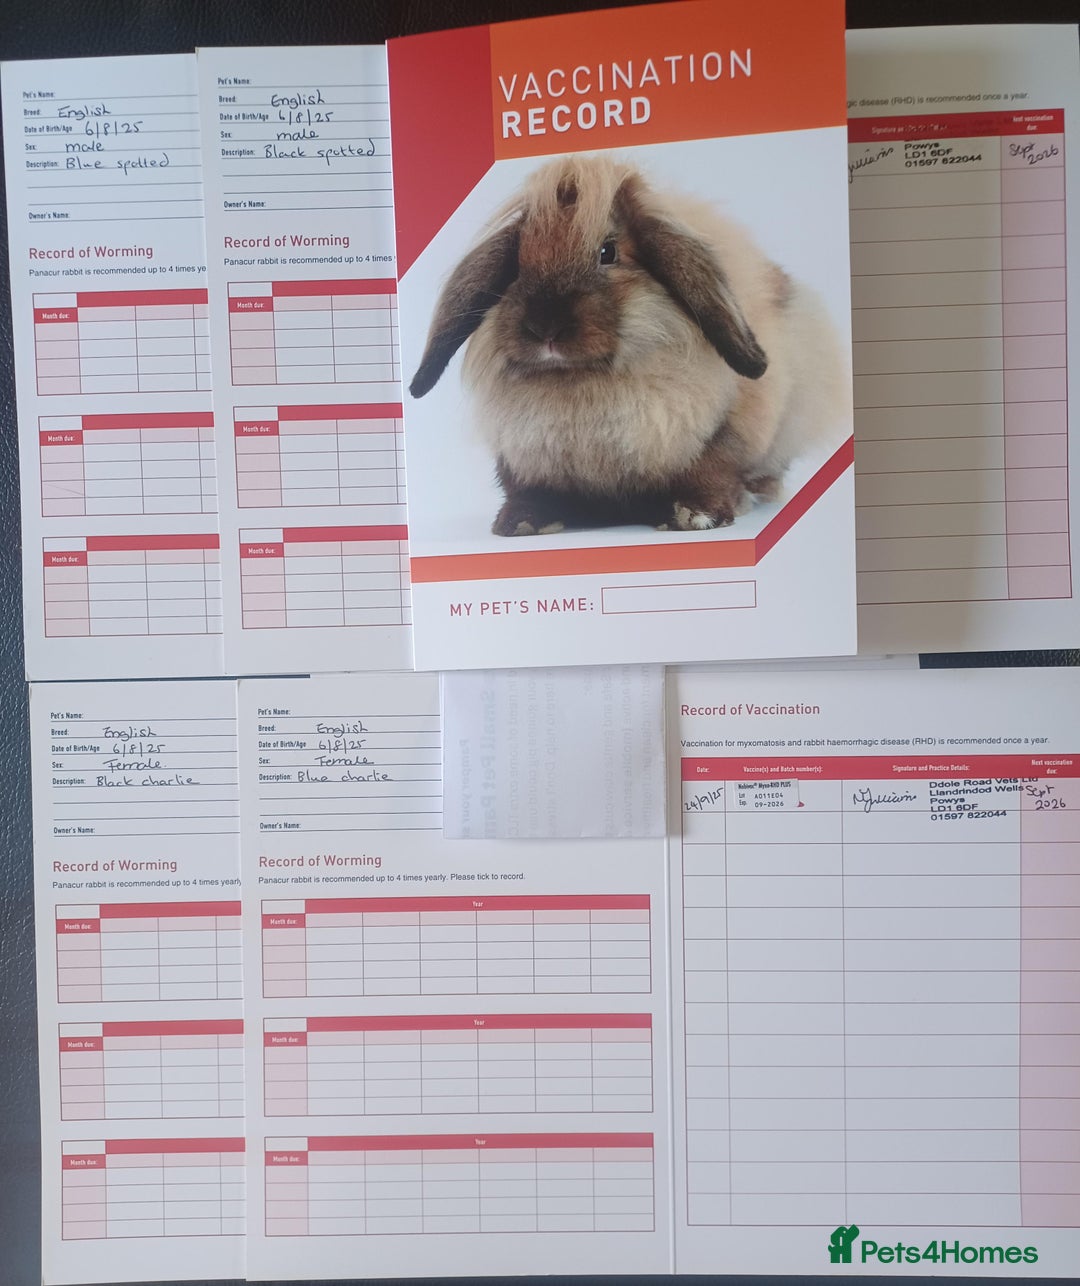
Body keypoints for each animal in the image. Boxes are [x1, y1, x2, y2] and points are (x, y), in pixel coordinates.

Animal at [409, 154, 849, 537]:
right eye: (517, 262)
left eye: (609, 252)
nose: (545, 327)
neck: (583, 387)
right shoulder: (521, 458)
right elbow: (527, 490)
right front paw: (519, 522)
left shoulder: (719, 437)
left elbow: (710, 472)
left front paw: (697, 516)